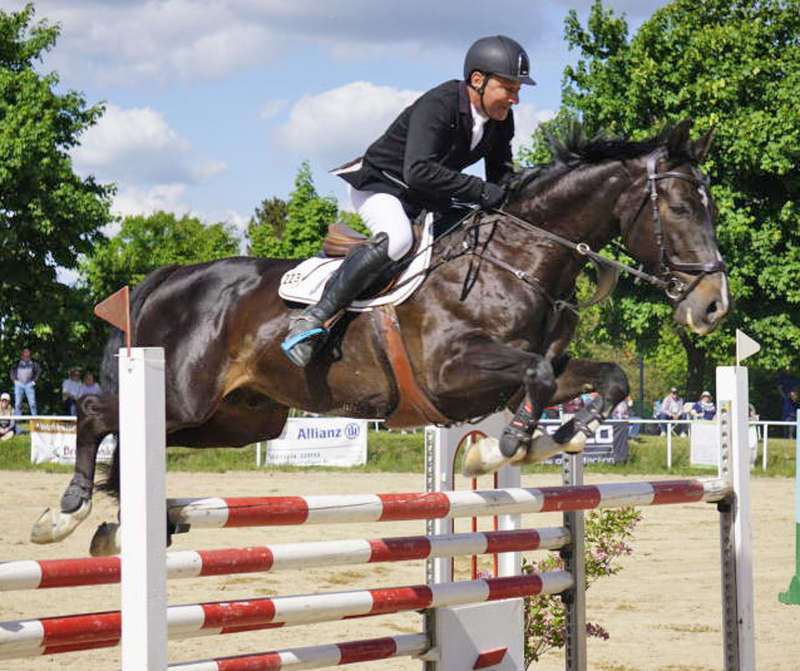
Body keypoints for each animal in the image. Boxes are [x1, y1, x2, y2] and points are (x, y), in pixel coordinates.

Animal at [31, 117, 732, 556]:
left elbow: (603, 380)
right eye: (678, 208)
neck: (518, 259)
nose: (713, 307)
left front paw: (557, 437)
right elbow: (532, 381)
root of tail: (169, 279)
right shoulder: (453, 375)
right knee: (93, 411)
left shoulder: (538, 368)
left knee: (134, 436)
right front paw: (502, 447)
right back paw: (63, 514)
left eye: (712, 208)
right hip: (182, 395)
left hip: (239, 419)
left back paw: (119, 525)